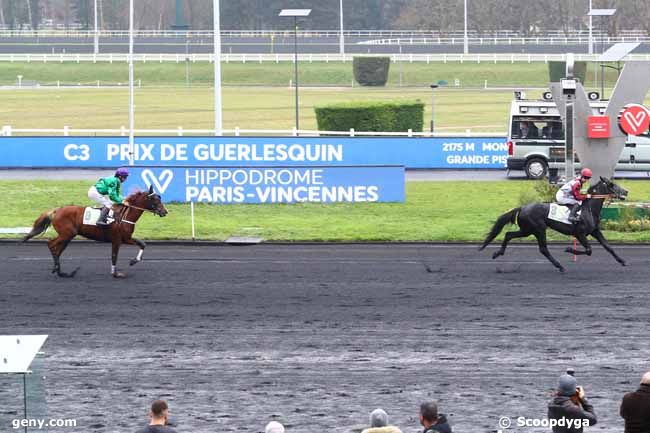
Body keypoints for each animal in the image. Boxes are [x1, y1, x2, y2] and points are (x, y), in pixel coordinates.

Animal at [23, 185, 167, 276]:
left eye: (159, 198)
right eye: (155, 199)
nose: (165, 212)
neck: (124, 216)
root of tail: (56, 210)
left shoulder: (126, 238)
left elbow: (143, 244)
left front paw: (133, 261)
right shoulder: (117, 240)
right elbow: (114, 256)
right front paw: (115, 273)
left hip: (68, 236)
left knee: (58, 249)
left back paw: (60, 271)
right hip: (66, 234)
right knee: (51, 244)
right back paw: (58, 269)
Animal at [478, 175, 624, 270]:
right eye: (612, 185)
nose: (626, 191)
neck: (588, 209)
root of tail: (522, 208)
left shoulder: (595, 231)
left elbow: (608, 246)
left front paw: (622, 261)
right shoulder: (580, 234)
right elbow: (589, 250)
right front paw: (569, 249)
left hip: (527, 230)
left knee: (508, 234)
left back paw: (498, 253)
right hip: (538, 229)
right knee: (543, 249)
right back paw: (559, 266)